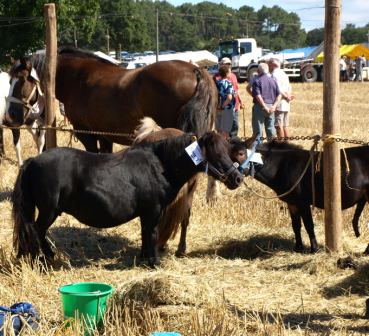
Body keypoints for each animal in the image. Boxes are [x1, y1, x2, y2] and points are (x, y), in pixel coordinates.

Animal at [12, 131, 242, 266]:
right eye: (215, 154)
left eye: (228, 152)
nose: (237, 178)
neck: (159, 165)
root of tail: (32, 162)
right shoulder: (153, 210)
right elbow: (152, 233)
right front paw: (154, 262)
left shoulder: (146, 213)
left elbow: (145, 233)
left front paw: (144, 258)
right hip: (48, 211)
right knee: (36, 230)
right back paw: (44, 257)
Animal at [17, 47, 217, 151]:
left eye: (19, 80)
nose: (17, 117)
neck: (78, 77)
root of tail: (195, 70)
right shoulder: (104, 135)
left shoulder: (86, 134)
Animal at [230, 138, 368, 252]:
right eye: (228, 154)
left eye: (241, 153)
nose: (233, 177)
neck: (281, 165)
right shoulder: (292, 202)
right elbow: (296, 225)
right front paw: (298, 247)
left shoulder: (303, 201)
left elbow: (309, 224)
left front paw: (314, 249)